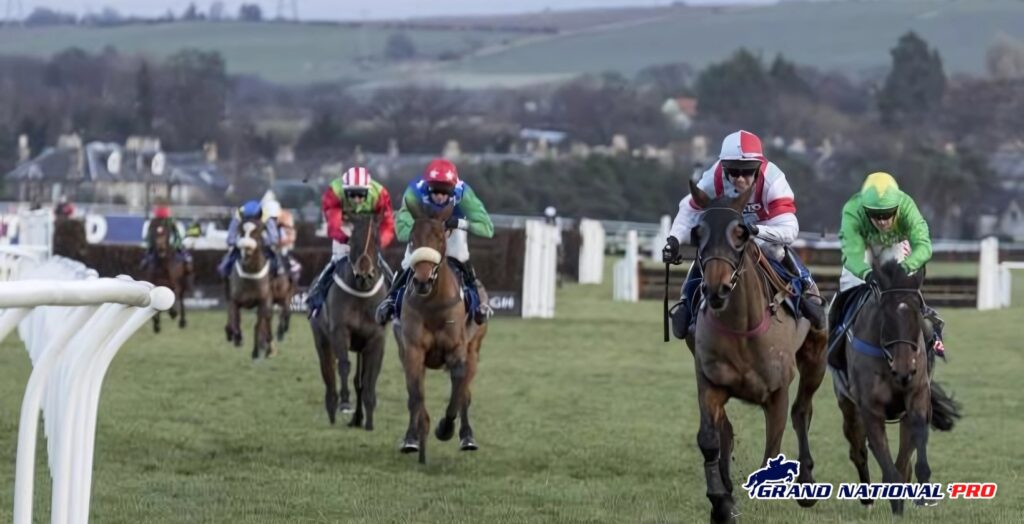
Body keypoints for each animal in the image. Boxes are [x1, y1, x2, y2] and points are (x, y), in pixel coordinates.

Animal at [223, 216, 274, 360]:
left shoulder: (262, 302)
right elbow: (235, 320)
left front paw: (256, 351)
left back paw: (267, 347)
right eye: (241, 233)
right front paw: (237, 337)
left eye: (257, 233)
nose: (246, 255)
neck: (250, 273)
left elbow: (258, 325)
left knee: (267, 320)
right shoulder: (235, 300)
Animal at [307, 212, 387, 429]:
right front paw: (344, 403)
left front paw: (369, 415)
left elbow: (370, 375)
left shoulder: (376, 338)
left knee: (359, 380)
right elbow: (343, 365)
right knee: (328, 370)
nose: (364, 275)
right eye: (352, 240)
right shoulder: (340, 331)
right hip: (321, 339)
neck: (362, 295)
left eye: (376, 239)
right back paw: (332, 407)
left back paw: (358, 418)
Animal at [393, 200, 485, 462]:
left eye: (440, 239)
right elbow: (415, 397)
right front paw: (414, 438)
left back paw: (467, 437)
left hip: (474, 350)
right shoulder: (413, 352)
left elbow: (458, 395)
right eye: (412, 239)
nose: (422, 280)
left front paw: (445, 428)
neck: (433, 304)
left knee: (465, 393)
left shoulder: (457, 352)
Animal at [679, 178, 831, 521]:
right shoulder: (710, 382)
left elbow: (773, 447)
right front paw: (721, 502)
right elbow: (710, 438)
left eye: (740, 233)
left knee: (803, 410)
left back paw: (807, 481)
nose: (717, 288)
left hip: (816, 357)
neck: (742, 329)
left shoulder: (776, 392)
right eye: (698, 233)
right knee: (726, 430)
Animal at [831, 259, 958, 513]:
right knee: (858, 450)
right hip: (847, 404)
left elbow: (905, 463)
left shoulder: (916, 402)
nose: (904, 369)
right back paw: (868, 501)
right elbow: (886, 464)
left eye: (917, 312)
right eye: (884, 313)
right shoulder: (869, 409)